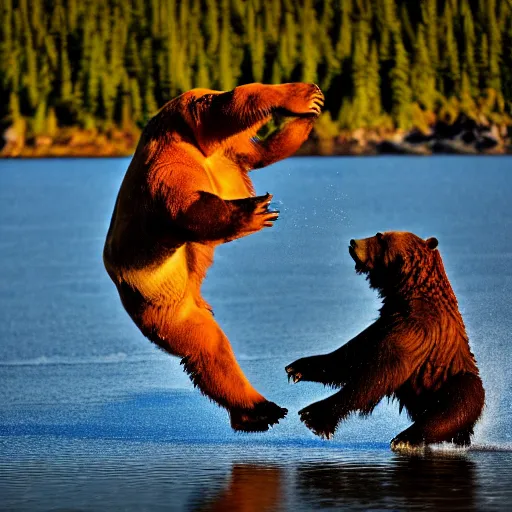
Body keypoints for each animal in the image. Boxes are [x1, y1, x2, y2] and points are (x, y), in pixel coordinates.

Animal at [103, 83, 324, 432]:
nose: (313, 90)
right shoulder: (166, 175)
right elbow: (191, 209)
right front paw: (255, 211)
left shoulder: (228, 154)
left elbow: (260, 152)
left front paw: (309, 108)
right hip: (162, 305)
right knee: (205, 346)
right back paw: (260, 409)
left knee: (212, 350)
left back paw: (260, 410)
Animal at [286, 232, 486, 448]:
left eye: (380, 236)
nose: (353, 242)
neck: (407, 293)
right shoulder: (385, 322)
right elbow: (350, 355)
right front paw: (297, 368)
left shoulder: (417, 329)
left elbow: (382, 371)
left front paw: (313, 415)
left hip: (453, 381)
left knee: (450, 411)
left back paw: (405, 438)